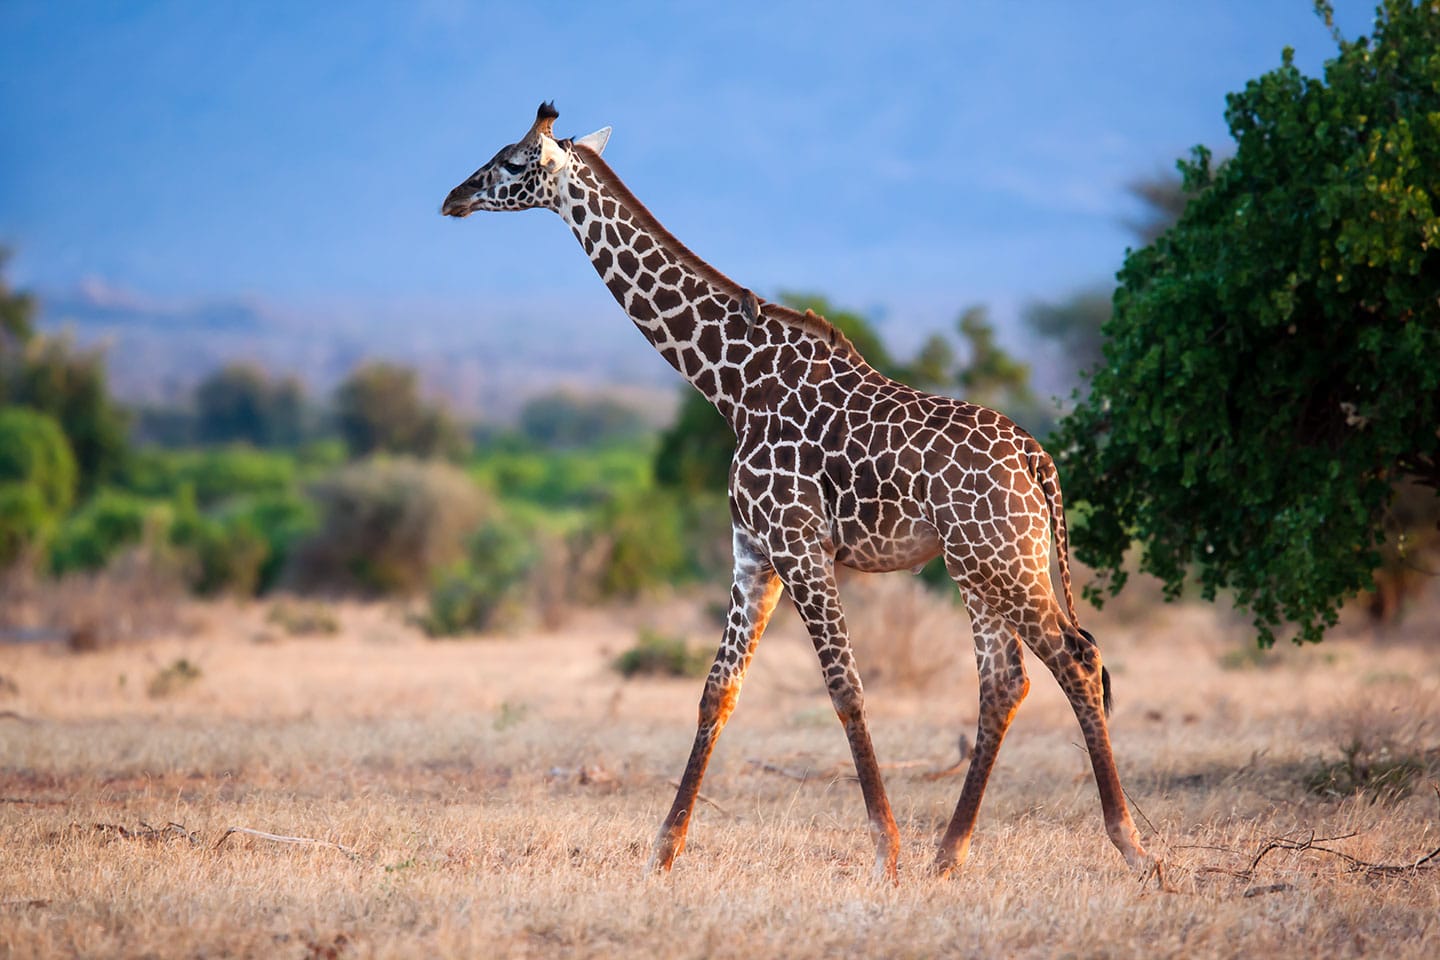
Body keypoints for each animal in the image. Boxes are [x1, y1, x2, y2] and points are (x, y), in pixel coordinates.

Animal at [441, 102, 1158, 884]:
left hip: (1000, 561)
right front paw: (663, 851)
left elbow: (845, 688)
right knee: (1006, 681)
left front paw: (885, 850)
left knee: (1076, 659)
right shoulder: (752, 550)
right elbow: (717, 690)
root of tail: (1038, 460)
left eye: (513, 161)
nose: (453, 198)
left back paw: (1128, 842)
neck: (732, 386)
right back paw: (949, 854)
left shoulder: (800, 545)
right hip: (979, 565)